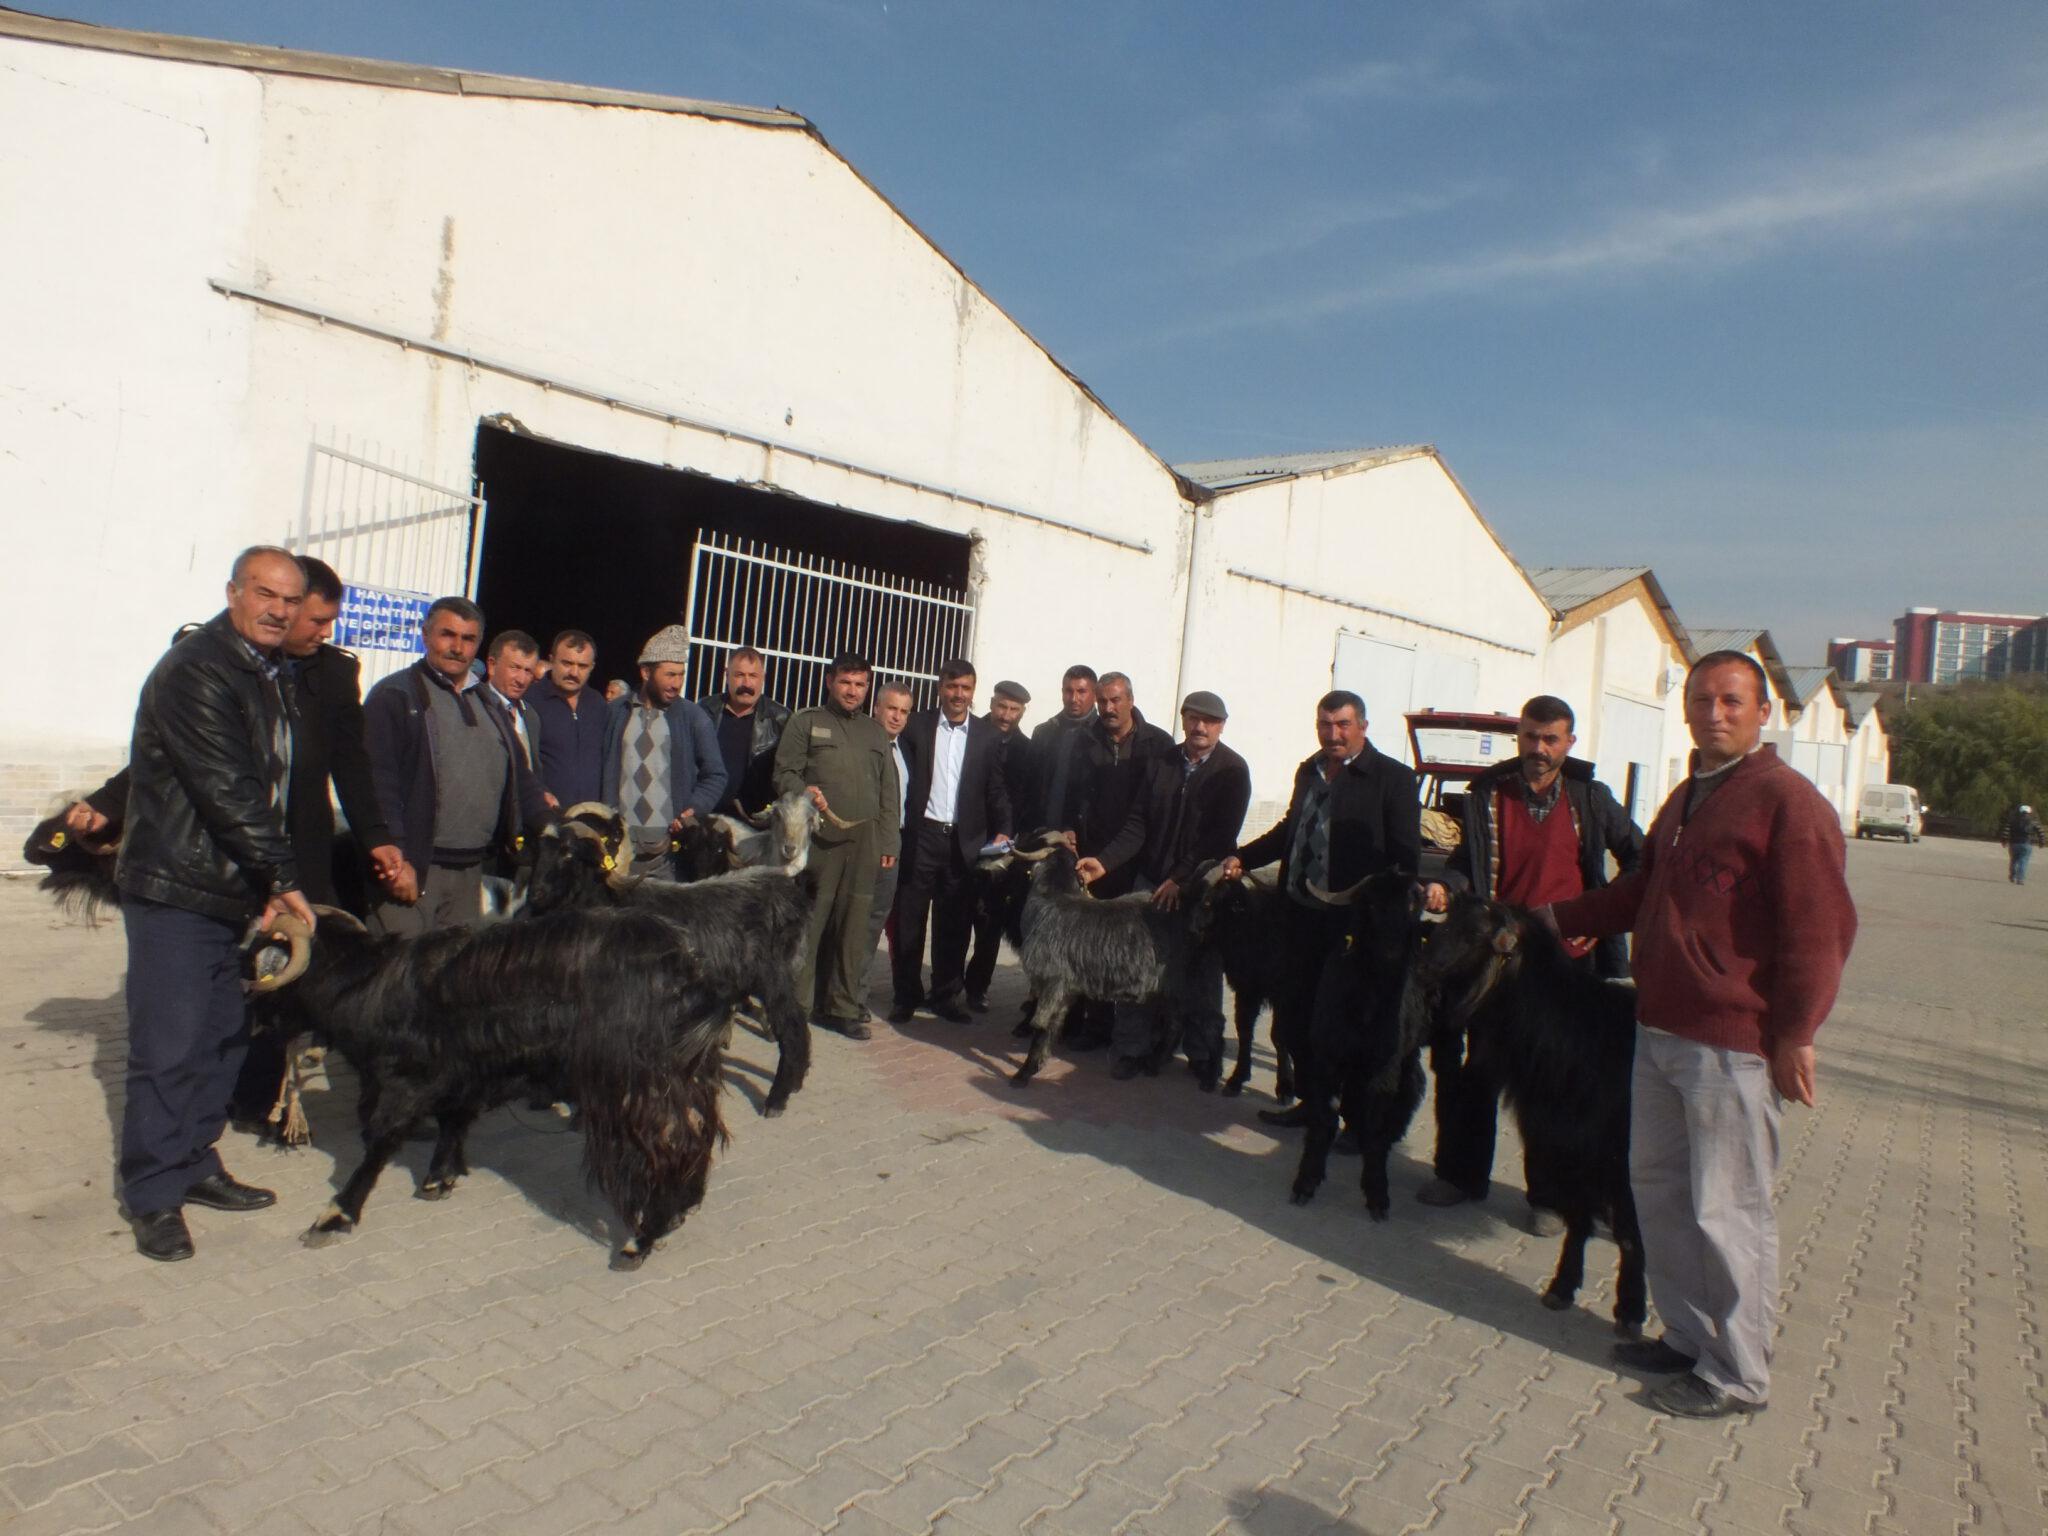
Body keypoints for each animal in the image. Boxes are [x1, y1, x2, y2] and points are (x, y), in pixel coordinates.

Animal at [248, 901, 733, 1277]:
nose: (254, 1020)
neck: (366, 984)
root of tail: (688, 967)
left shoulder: (405, 1080)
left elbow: (380, 1141)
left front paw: (335, 1216)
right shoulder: (461, 1074)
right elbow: (453, 1121)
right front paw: (438, 1179)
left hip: (638, 1084)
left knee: (667, 1145)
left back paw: (640, 1240)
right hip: (683, 1076)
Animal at [520, 798, 815, 1114]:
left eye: (568, 852)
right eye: (539, 851)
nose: (535, 895)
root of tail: (793, 892)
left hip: (774, 978)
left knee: (794, 1030)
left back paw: (777, 1098)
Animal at [1286, 872, 1433, 1220]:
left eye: (1413, 904)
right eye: (1373, 905)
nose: (1393, 948)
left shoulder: (1384, 1066)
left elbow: (1376, 1126)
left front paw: (1377, 1195)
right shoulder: (1326, 1057)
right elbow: (1324, 1117)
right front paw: (1306, 1182)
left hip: (1408, 1054)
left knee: (1414, 1084)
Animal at [1425, 897, 1646, 1343]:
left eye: (1475, 935)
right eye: (1448, 919)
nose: (1426, 965)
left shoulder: (1619, 1162)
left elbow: (1632, 1233)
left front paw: (1631, 1311)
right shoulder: (1566, 1147)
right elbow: (1578, 1222)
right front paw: (1562, 1288)